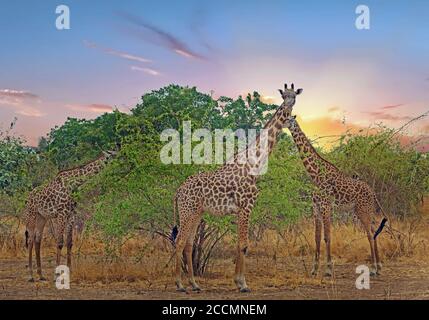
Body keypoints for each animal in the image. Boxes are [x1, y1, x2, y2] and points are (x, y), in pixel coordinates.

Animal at [23, 151, 116, 282]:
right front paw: (56, 274)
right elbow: (60, 242)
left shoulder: (71, 214)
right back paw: (31, 276)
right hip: (32, 214)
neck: (74, 184)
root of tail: (27, 197)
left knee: (37, 239)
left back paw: (41, 275)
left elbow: (69, 242)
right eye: (113, 156)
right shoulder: (61, 214)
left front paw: (69, 271)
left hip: (42, 217)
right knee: (31, 239)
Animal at [169, 83, 302, 292]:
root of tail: (178, 191)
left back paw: (195, 284)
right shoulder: (247, 206)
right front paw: (243, 284)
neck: (254, 164)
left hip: (196, 213)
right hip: (187, 211)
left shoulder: (240, 209)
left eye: (294, 96)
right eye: (284, 95)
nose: (288, 107)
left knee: (189, 244)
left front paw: (238, 281)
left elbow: (240, 244)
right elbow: (244, 245)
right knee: (180, 241)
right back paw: (180, 284)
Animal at [282, 115, 386, 278]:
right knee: (374, 231)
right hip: (364, 210)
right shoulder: (316, 208)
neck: (315, 174)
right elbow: (317, 238)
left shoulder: (325, 206)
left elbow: (327, 237)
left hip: (363, 210)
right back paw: (379, 267)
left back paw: (374, 268)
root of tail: (373, 192)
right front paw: (314, 269)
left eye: (287, 119)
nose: (280, 123)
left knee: (370, 234)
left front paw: (328, 270)